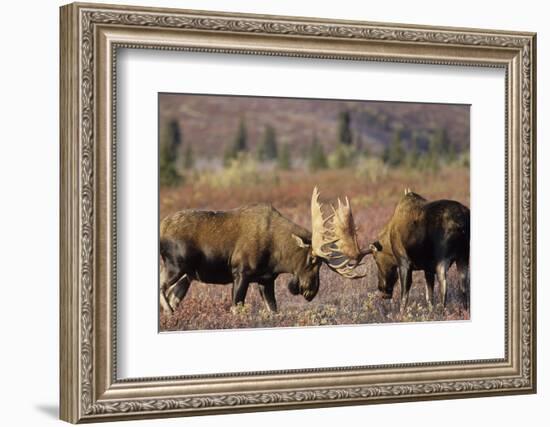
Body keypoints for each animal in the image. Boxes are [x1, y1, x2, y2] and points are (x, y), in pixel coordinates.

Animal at [160, 187, 370, 314]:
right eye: (312, 259)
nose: (310, 291)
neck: (277, 257)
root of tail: (161, 228)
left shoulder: (266, 280)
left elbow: (273, 310)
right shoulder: (240, 273)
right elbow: (236, 309)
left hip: (186, 275)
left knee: (171, 296)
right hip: (175, 266)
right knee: (162, 289)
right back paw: (170, 312)